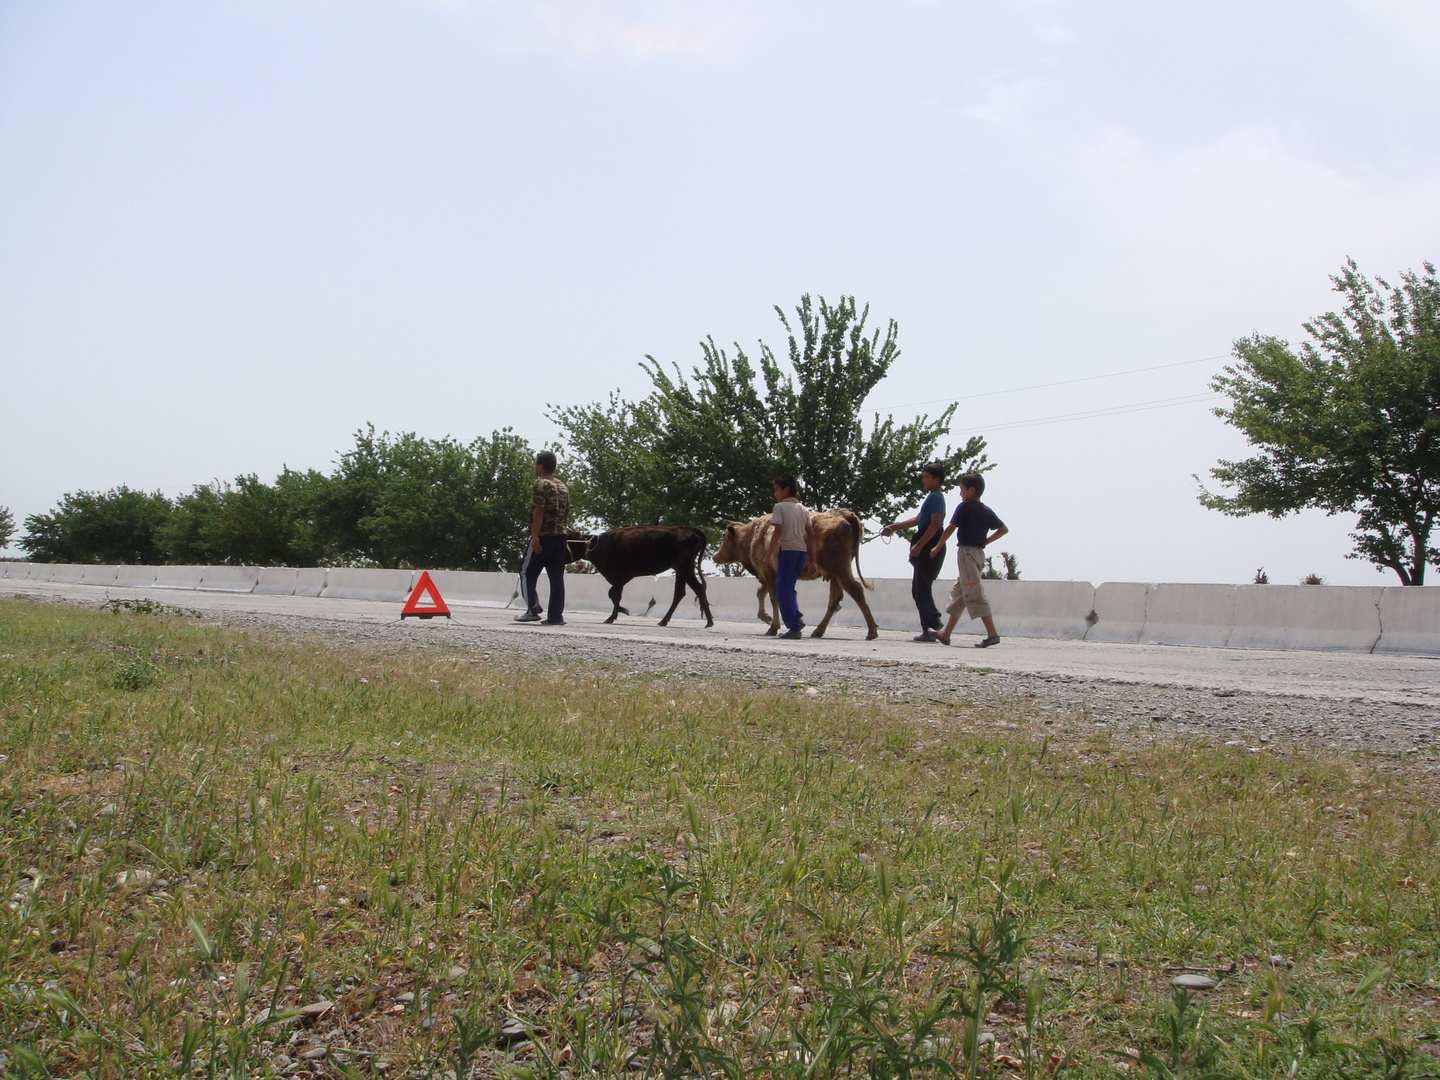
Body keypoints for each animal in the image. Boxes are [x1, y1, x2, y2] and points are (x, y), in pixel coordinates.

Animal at [584, 529, 714, 630]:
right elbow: (614, 594)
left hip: (684, 566)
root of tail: (692, 530)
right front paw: (619, 612)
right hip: (682, 569)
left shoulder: (622, 576)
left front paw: (615, 615)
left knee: (692, 589)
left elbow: (613, 594)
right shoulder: (621, 578)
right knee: (684, 591)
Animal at [711, 509, 875, 639]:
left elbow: (773, 598)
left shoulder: (767, 572)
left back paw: (872, 631)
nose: (715, 555)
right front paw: (771, 618)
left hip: (840, 569)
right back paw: (818, 631)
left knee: (855, 590)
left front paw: (773, 626)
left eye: (724, 537)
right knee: (835, 598)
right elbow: (762, 593)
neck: (753, 536)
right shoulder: (772, 575)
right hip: (834, 573)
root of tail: (845, 514)